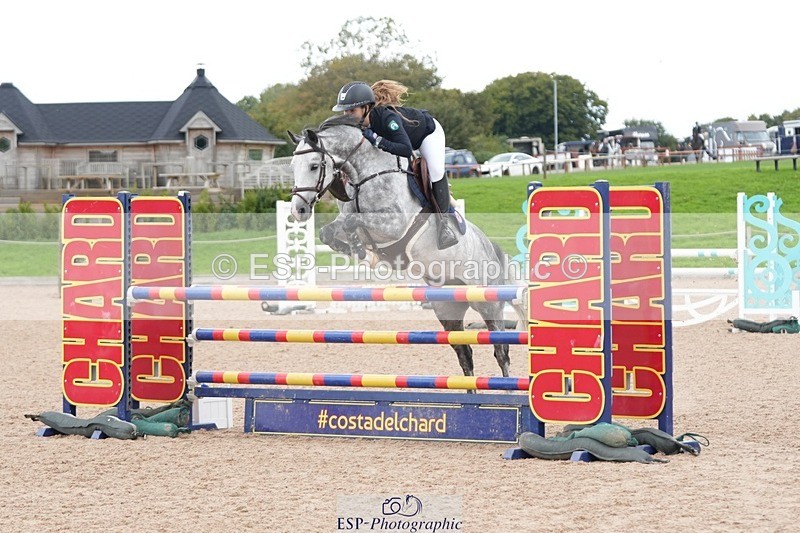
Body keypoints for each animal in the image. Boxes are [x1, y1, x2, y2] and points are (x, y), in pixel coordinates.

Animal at [288, 114, 526, 379]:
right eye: (293, 166)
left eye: (313, 166)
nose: (298, 211)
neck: (367, 175)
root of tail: (493, 250)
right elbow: (330, 231)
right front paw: (362, 252)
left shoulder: (394, 224)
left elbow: (352, 222)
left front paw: (362, 250)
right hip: (448, 308)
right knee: (465, 354)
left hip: (488, 303)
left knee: (501, 351)